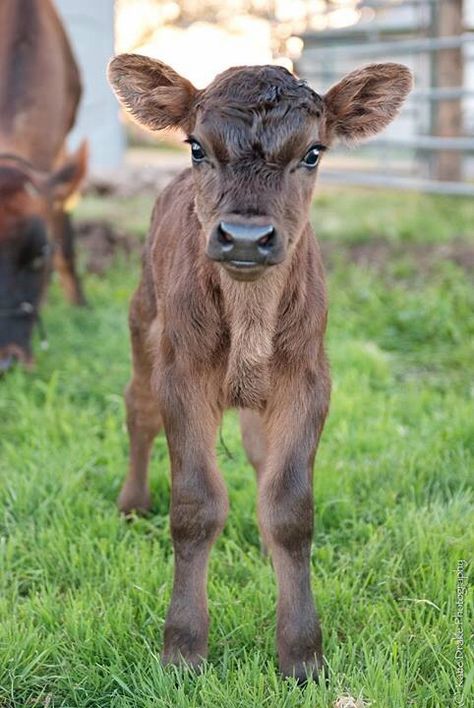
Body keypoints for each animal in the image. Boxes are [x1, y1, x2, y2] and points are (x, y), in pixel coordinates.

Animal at [107, 52, 412, 684]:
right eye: (197, 147)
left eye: (313, 152)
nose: (246, 237)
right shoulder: (182, 377)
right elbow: (196, 506)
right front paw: (183, 650)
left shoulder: (308, 381)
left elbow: (289, 507)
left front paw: (302, 656)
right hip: (143, 318)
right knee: (137, 406)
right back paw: (132, 503)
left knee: (256, 452)